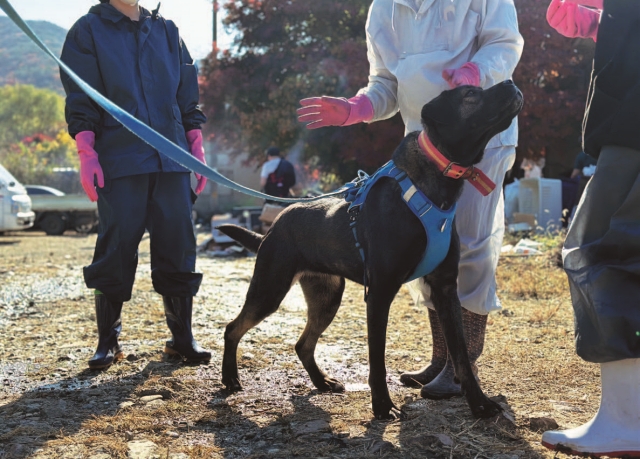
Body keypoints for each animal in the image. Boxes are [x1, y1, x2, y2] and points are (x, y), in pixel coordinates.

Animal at [218, 80, 524, 420]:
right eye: (470, 94)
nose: (511, 82)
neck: (434, 184)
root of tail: (273, 226)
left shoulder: (445, 289)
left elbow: (460, 355)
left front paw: (479, 403)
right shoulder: (380, 291)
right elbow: (377, 357)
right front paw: (382, 406)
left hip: (326, 297)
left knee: (302, 344)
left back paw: (322, 382)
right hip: (270, 289)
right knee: (233, 328)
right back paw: (230, 378)